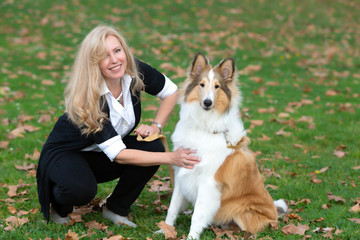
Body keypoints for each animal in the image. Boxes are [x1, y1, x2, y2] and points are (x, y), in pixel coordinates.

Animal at [162, 53, 286, 239]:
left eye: (217, 86)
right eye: (202, 84)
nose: (207, 102)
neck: (204, 125)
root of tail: (275, 215)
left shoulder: (207, 183)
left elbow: (197, 215)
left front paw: (191, 236)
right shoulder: (181, 172)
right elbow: (173, 207)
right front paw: (165, 230)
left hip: (242, 210)